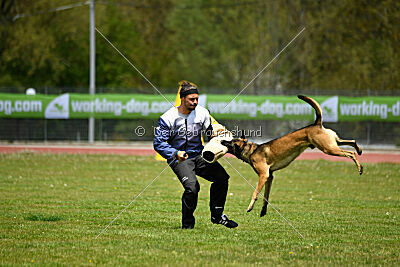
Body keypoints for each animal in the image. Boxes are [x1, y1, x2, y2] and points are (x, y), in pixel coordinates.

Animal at [222, 96, 362, 218]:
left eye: (231, 143)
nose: (223, 141)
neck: (252, 150)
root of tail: (316, 124)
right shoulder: (269, 177)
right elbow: (266, 196)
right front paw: (263, 211)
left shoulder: (263, 176)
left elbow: (255, 192)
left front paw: (250, 207)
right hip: (333, 143)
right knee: (352, 141)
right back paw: (359, 150)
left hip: (328, 149)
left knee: (350, 153)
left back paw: (360, 167)